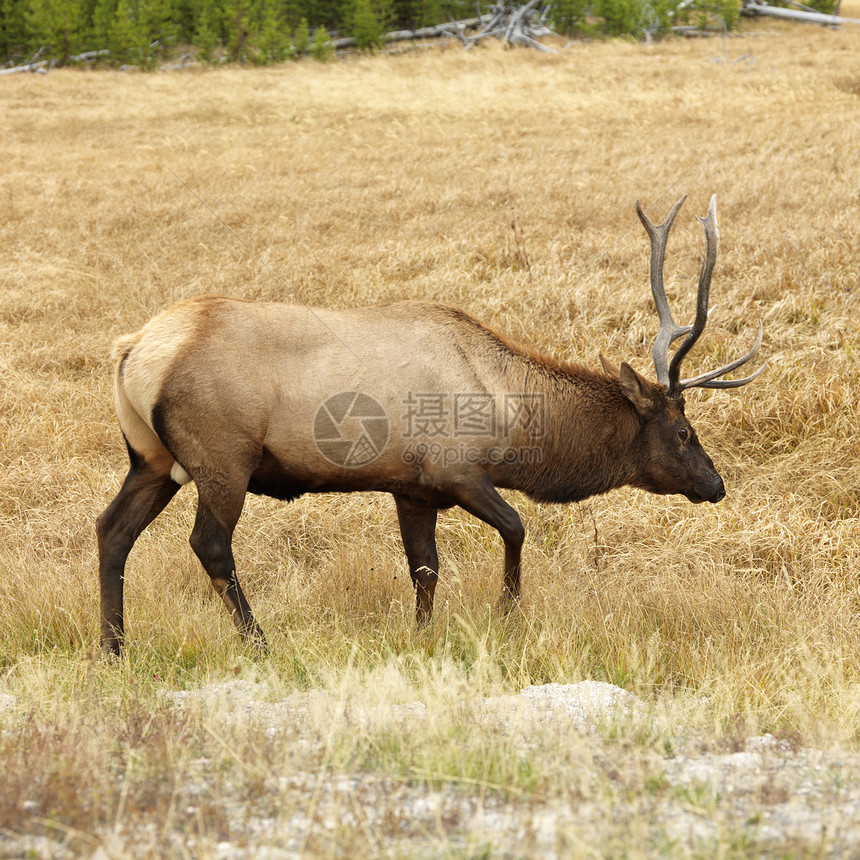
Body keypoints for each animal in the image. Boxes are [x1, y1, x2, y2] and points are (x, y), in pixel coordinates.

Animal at [97, 195, 764, 652]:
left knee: (112, 529)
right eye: (683, 432)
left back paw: (113, 646)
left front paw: (422, 636)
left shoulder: (410, 487)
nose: (715, 484)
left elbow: (424, 569)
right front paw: (506, 615)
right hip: (222, 457)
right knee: (209, 543)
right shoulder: (456, 469)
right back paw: (258, 642)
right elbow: (516, 527)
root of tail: (133, 350)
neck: (513, 420)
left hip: (150, 458)